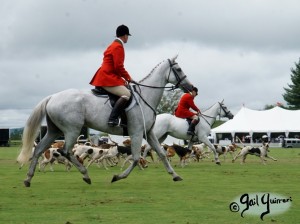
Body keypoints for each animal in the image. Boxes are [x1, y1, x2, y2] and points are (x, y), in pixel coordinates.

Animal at [17, 56, 193, 187]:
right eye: (178, 69)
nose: (191, 87)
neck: (146, 96)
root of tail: (52, 97)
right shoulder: (136, 133)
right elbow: (136, 158)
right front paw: (117, 177)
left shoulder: (148, 133)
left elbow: (162, 154)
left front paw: (175, 175)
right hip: (71, 130)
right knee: (66, 151)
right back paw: (86, 175)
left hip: (55, 130)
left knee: (39, 149)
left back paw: (28, 179)